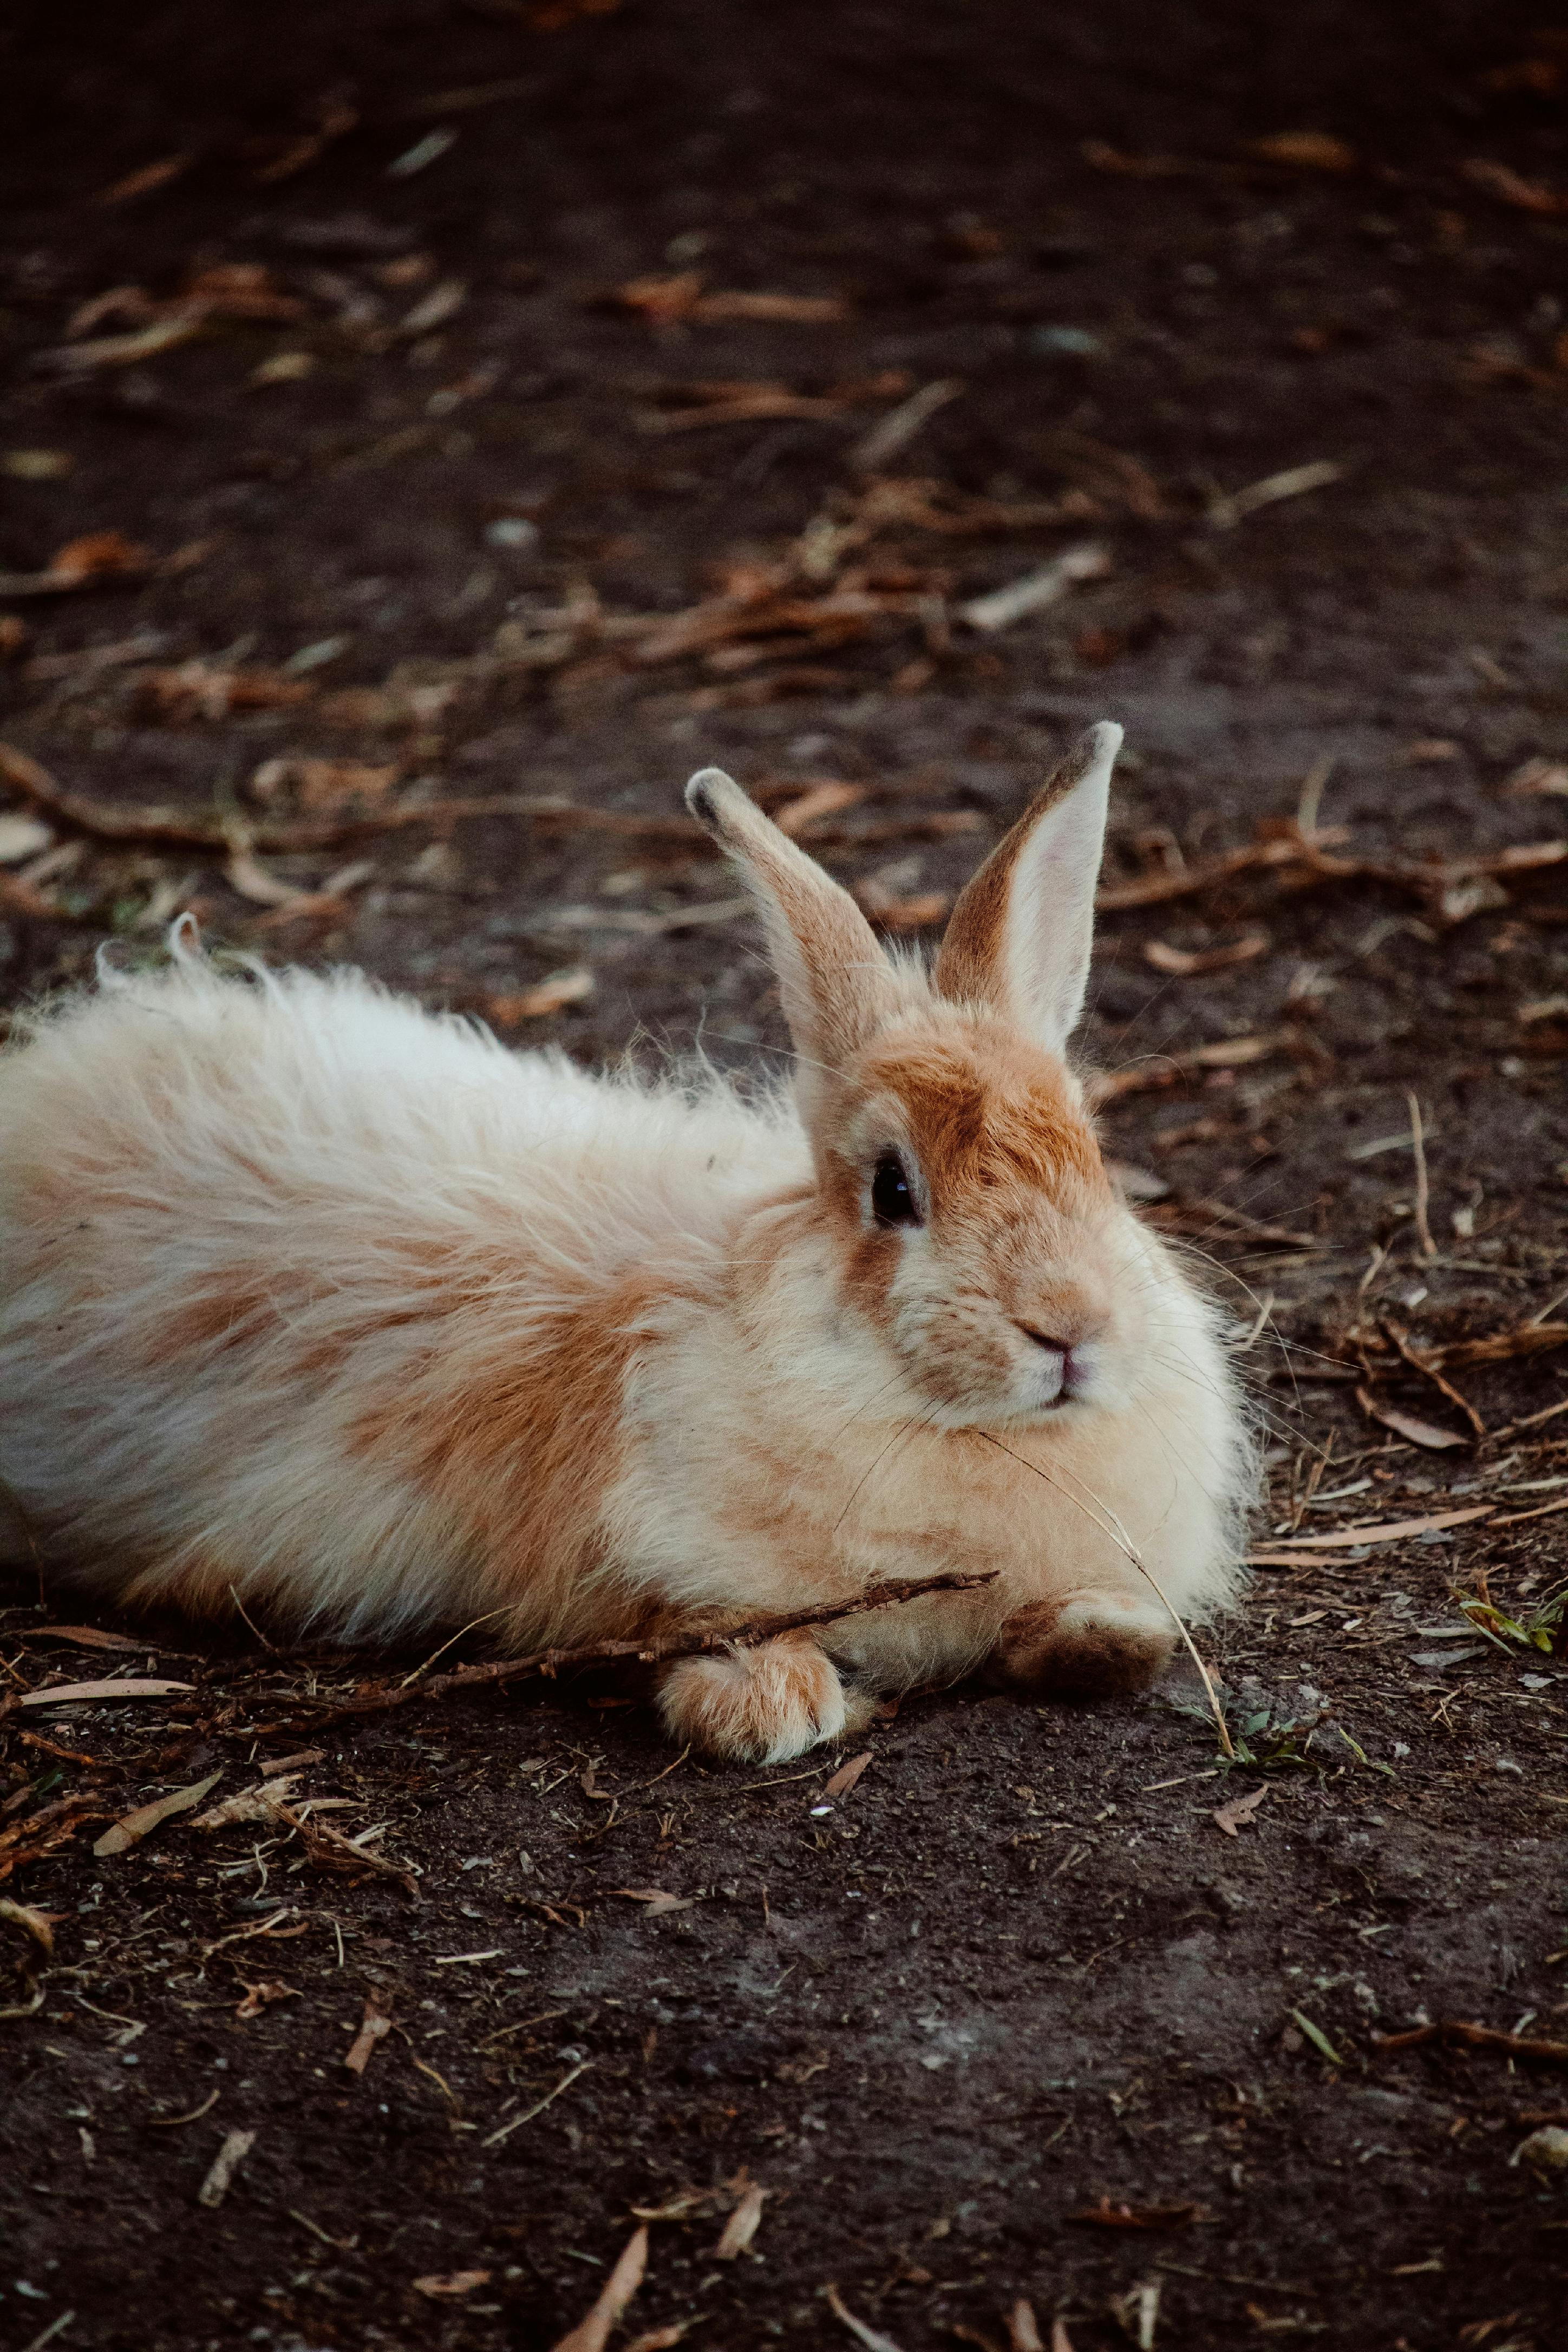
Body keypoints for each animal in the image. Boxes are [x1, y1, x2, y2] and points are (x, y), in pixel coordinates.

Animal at [0, 721, 1253, 1761]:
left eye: (1090, 1149)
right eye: (893, 1189)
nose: (1071, 1329)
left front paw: (1107, 1637)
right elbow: (685, 1623)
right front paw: (769, 1708)